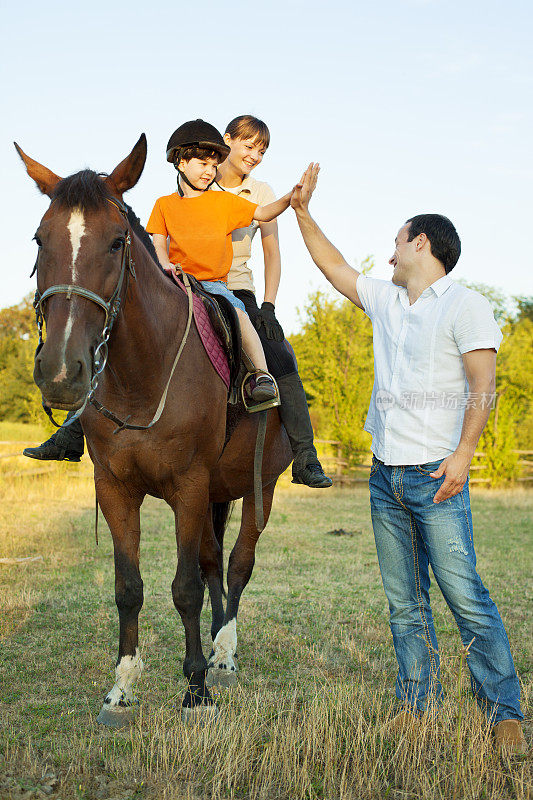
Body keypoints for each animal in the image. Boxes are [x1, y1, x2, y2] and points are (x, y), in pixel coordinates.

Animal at [16, 136, 290, 724]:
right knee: (214, 565)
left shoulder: (188, 487)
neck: (143, 373)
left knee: (237, 565)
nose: (62, 373)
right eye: (39, 238)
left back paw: (223, 656)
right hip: (216, 494)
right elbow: (129, 587)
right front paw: (121, 689)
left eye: (117, 241)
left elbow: (185, 588)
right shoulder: (116, 489)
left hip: (259, 489)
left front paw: (195, 691)